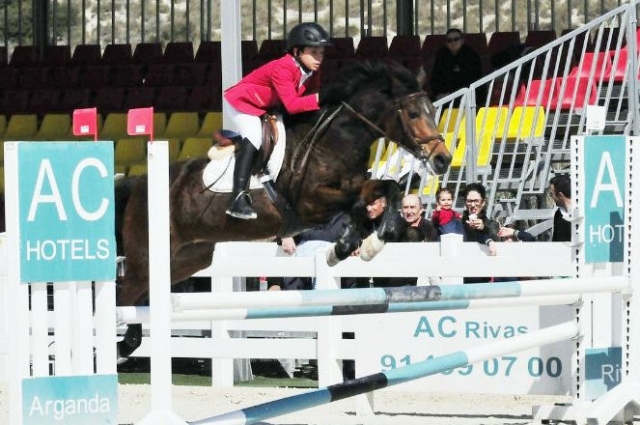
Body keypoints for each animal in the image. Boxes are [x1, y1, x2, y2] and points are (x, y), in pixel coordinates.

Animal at [115, 60, 452, 358]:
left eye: (433, 111)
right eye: (413, 113)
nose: (443, 159)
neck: (335, 141)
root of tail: (137, 183)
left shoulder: (356, 188)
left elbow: (387, 188)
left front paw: (364, 244)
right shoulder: (311, 203)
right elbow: (358, 201)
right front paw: (350, 245)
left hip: (185, 259)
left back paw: (127, 344)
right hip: (146, 258)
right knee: (124, 296)